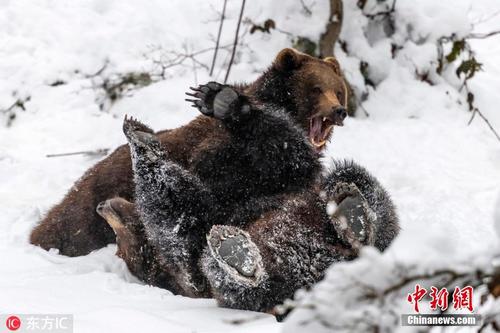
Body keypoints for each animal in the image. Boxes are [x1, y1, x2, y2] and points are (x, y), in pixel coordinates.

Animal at [30, 48, 348, 256]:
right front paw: (220, 100)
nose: (339, 111)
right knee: (70, 226)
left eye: (338, 90)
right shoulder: (220, 155)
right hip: (93, 200)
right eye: (316, 88)